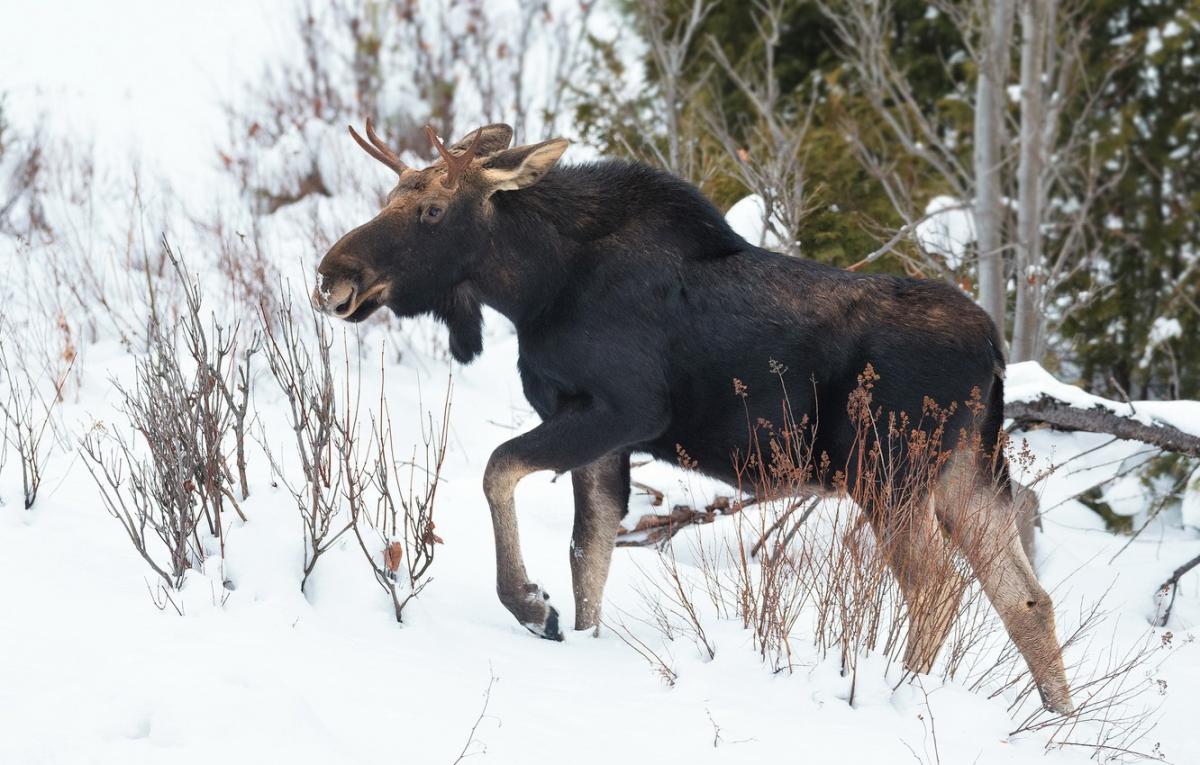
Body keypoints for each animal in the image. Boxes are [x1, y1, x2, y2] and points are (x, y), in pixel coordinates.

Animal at [314, 119, 1075, 714]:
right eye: (391, 197)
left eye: (433, 210)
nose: (332, 275)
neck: (532, 286)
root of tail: (994, 352)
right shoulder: (604, 434)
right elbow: (589, 555)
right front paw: (572, 628)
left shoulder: (621, 408)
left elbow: (500, 471)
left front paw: (533, 605)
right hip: (967, 471)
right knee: (1027, 599)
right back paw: (1056, 720)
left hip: (888, 472)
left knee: (937, 588)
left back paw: (902, 694)